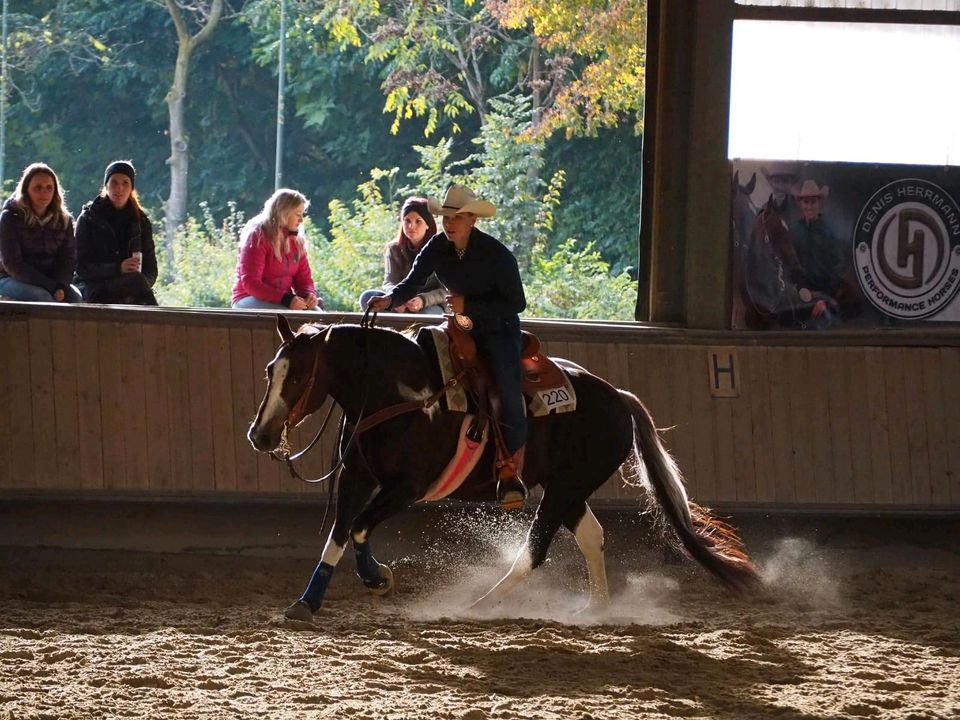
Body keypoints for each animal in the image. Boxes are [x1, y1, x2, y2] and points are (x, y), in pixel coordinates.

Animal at [251, 314, 760, 620]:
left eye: (298, 375)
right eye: (270, 371)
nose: (260, 435)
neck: (398, 394)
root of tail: (618, 397)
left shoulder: (407, 487)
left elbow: (357, 528)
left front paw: (378, 579)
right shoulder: (358, 477)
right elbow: (338, 535)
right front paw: (307, 602)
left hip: (564, 489)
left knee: (534, 551)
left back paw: (477, 604)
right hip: (567, 489)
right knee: (591, 536)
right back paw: (595, 609)